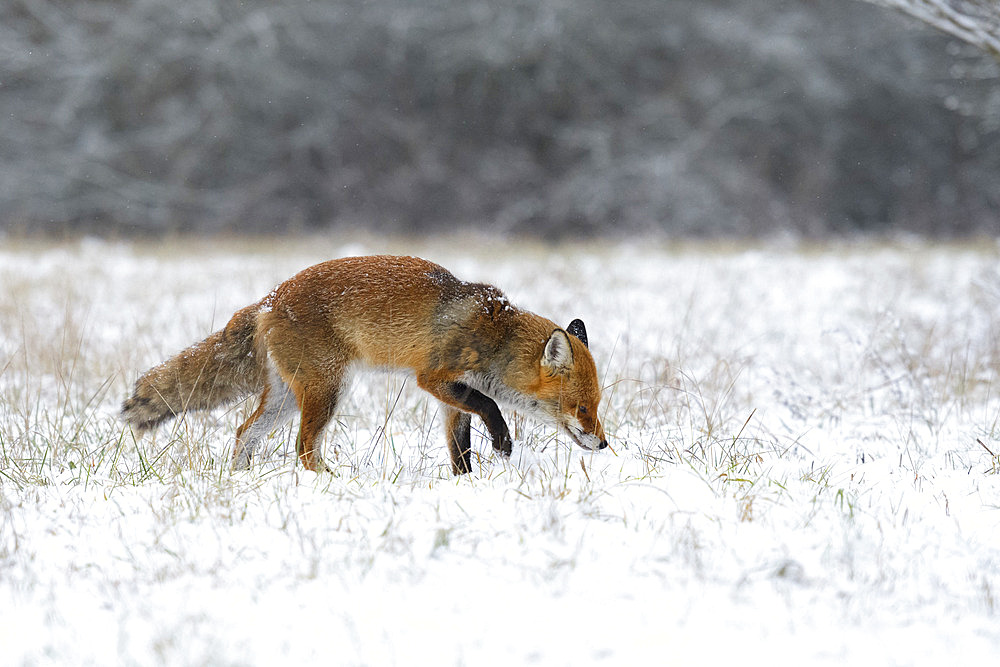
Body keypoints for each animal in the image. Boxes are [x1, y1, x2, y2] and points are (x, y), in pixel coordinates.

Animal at [125, 254, 608, 474]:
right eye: (583, 408)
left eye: (598, 406)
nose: (603, 443)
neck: (495, 333)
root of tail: (268, 301)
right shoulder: (432, 377)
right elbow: (490, 406)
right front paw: (505, 443)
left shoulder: (450, 399)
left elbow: (461, 451)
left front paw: (468, 486)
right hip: (327, 390)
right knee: (304, 446)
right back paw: (330, 482)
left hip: (288, 398)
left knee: (245, 431)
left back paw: (241, 478)